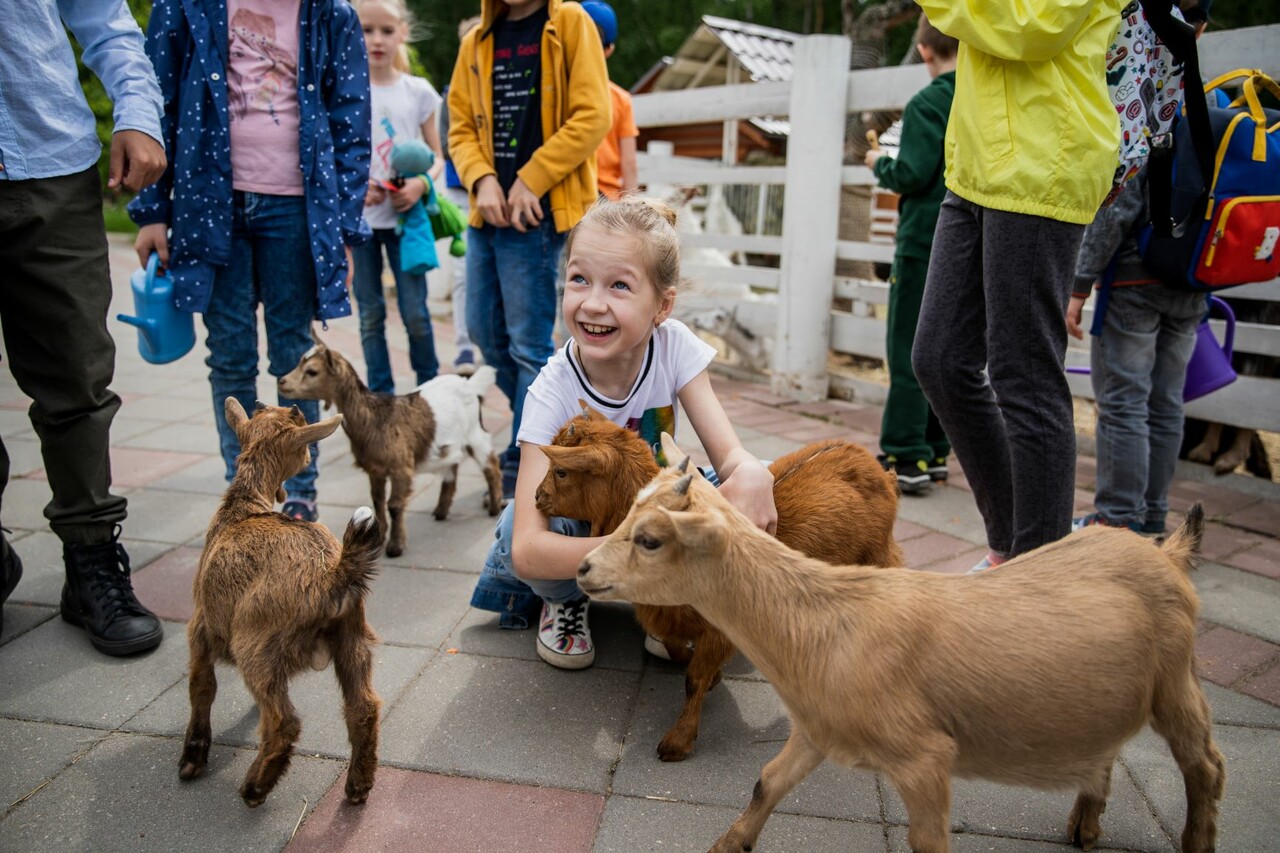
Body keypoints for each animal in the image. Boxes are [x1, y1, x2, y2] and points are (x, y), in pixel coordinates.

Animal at [183, 399, 384, 804]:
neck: (241, 506)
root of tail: (331, 574)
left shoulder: (200, 626)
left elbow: (202, 685)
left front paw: (192, 757)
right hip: (353, 638)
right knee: (363, 708)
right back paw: (358, 785)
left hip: (255, 646)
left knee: (284, 723)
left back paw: (256, 786)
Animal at [277, 327, 501, 555]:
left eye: (312, 371)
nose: (282, 382)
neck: (374, 419)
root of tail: (470, 384)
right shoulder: (375, 469)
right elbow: (377, 502)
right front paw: (377, 538)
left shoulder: (401, 466)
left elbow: (394, 505)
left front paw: (395, 547)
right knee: (452, 465)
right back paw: (441, 510)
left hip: (474, 433)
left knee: (491, 464)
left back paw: (494, 506)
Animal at [532, 404, 901, 758]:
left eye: (562, 471)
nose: (536, 497)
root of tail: (873, 465)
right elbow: (677, 650)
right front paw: (712, 677)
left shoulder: (717, 630)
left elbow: (693, 680)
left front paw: (677, 742)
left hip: (879, 555)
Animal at [578, 438, 1218, 850]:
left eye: (652, 539)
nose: (582, 568)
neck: (822, 619)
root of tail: (1166, 551)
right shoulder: (816, 729)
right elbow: (766, 782)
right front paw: (725, 846)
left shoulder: (925, 759)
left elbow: (927, 841)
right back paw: (1085, 825)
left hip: (1177, 682)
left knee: (1206, 767)